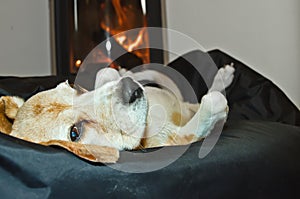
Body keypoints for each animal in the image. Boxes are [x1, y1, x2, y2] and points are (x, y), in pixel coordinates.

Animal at [0, 64, 234, 162]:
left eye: (74, 87)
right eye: (74, 133)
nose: (131, 89)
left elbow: (105, 73)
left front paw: (121, 73)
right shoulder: (179, 138)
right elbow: (210, 106)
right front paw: (218, 106)